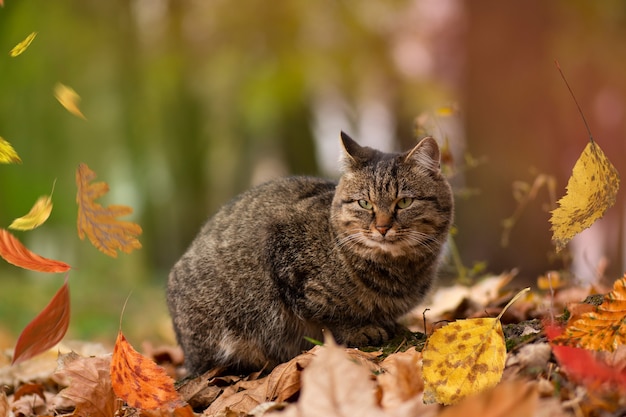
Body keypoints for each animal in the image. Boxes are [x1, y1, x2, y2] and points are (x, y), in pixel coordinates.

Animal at [166, 132, 450, 376]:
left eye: (404, 202)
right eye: (364, 203)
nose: (382, 227)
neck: (397, 269)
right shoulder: (284, 257)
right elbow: (326, 316)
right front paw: (358, 329)